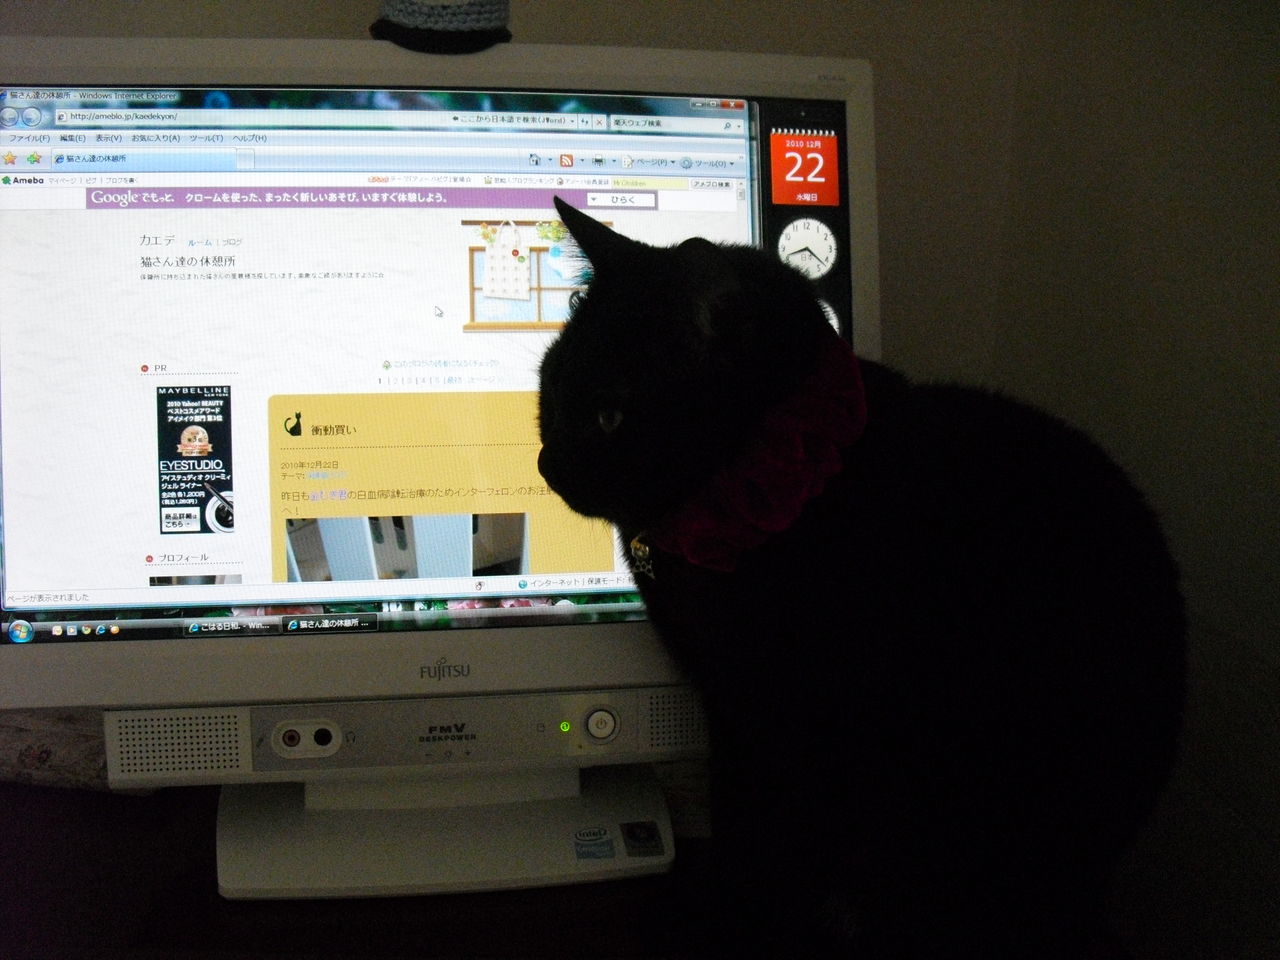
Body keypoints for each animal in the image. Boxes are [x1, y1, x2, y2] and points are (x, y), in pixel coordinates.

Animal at [537, 197, 1186, 959]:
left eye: (609, 413)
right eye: (550, 386)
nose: (546, 463)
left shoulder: (792, 717)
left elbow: (768, 839)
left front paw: (729, 916)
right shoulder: (729, 706)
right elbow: (739, 818)